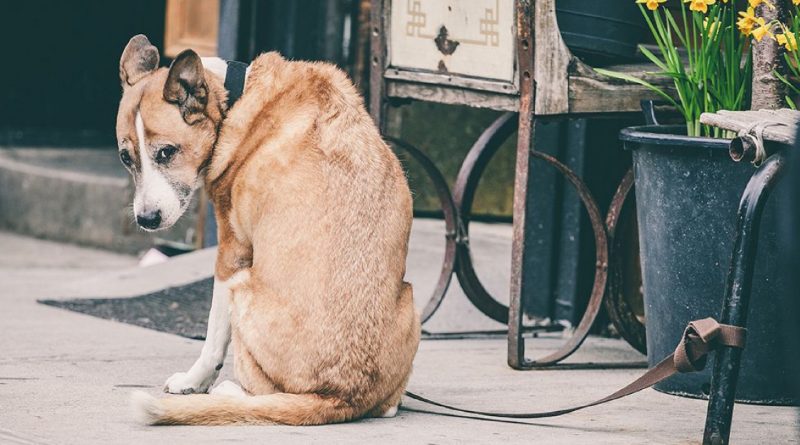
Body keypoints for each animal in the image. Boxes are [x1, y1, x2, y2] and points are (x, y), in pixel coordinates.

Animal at [118, 33, 422, 424]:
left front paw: (192, 382)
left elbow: (213, 339)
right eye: (126, 158)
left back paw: (230, 393)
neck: (235, 97)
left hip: (242, 287)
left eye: (166, 152)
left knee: (262, 393)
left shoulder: (230, 255)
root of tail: (340, 396)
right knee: (385, 405)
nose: (147, 219)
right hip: (410, 300)